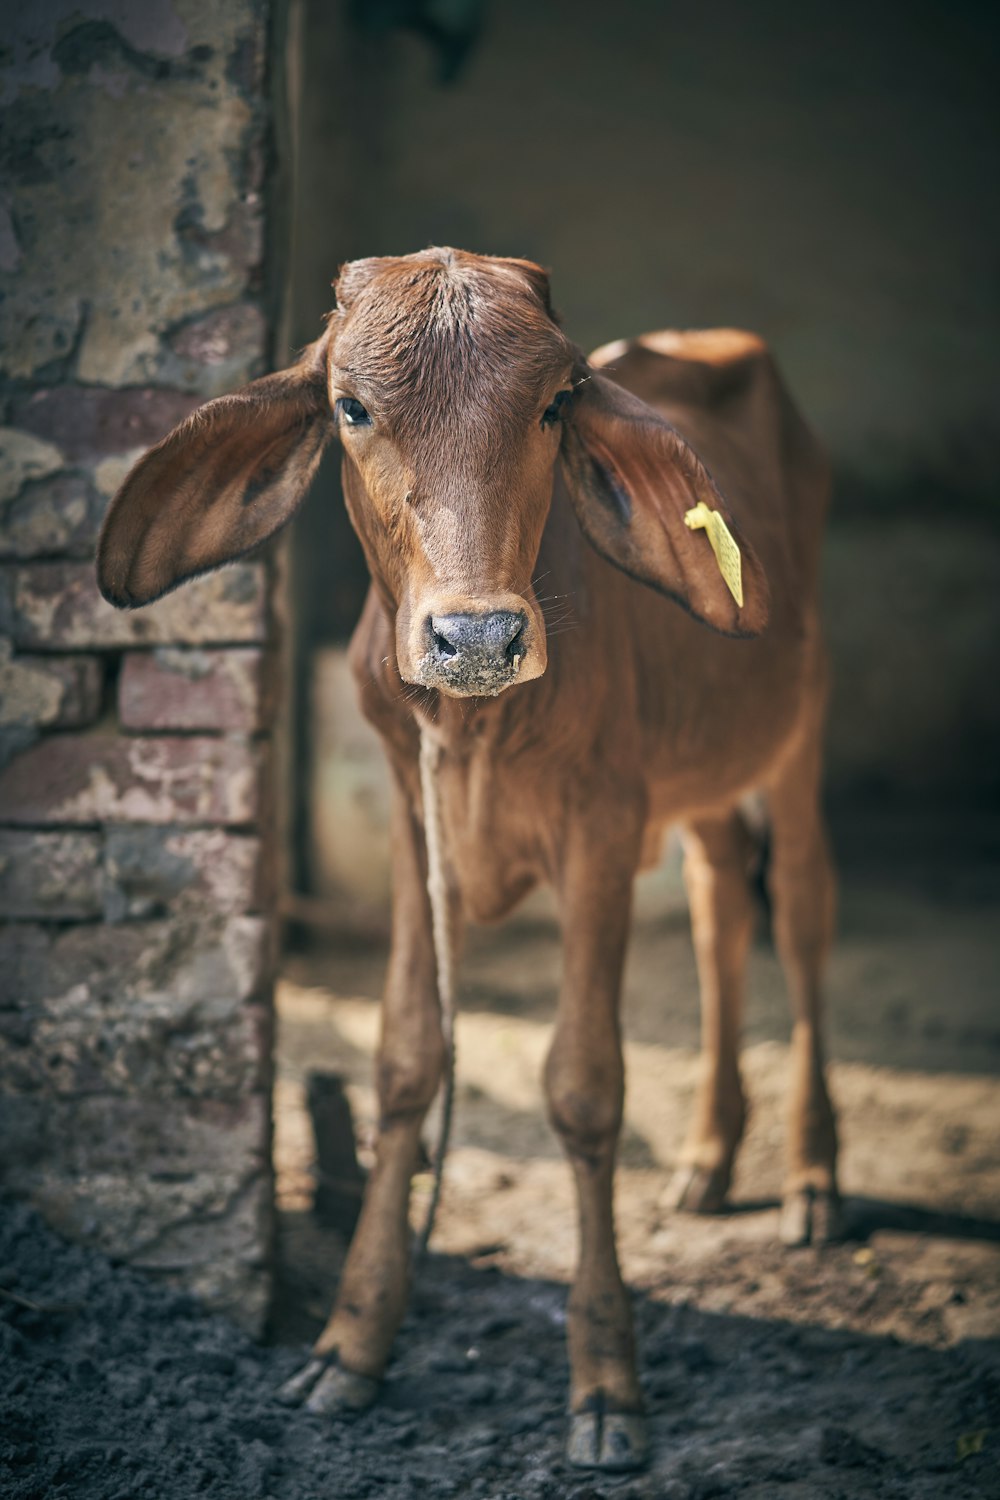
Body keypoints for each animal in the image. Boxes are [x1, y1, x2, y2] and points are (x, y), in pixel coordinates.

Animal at [99, 252, 839, 1470]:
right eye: (351, 408)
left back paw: (813, 1178)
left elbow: (584, 1088)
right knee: (719, 899)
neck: (479, 725)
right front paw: (351, 1343)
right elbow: (405, 1059)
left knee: (801, 918)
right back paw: (705, 1159)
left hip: (797, 728)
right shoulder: (417, 822)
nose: (478, 639)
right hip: (702, 775)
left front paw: (606, 1383)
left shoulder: (602, 824)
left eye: (554, 405)